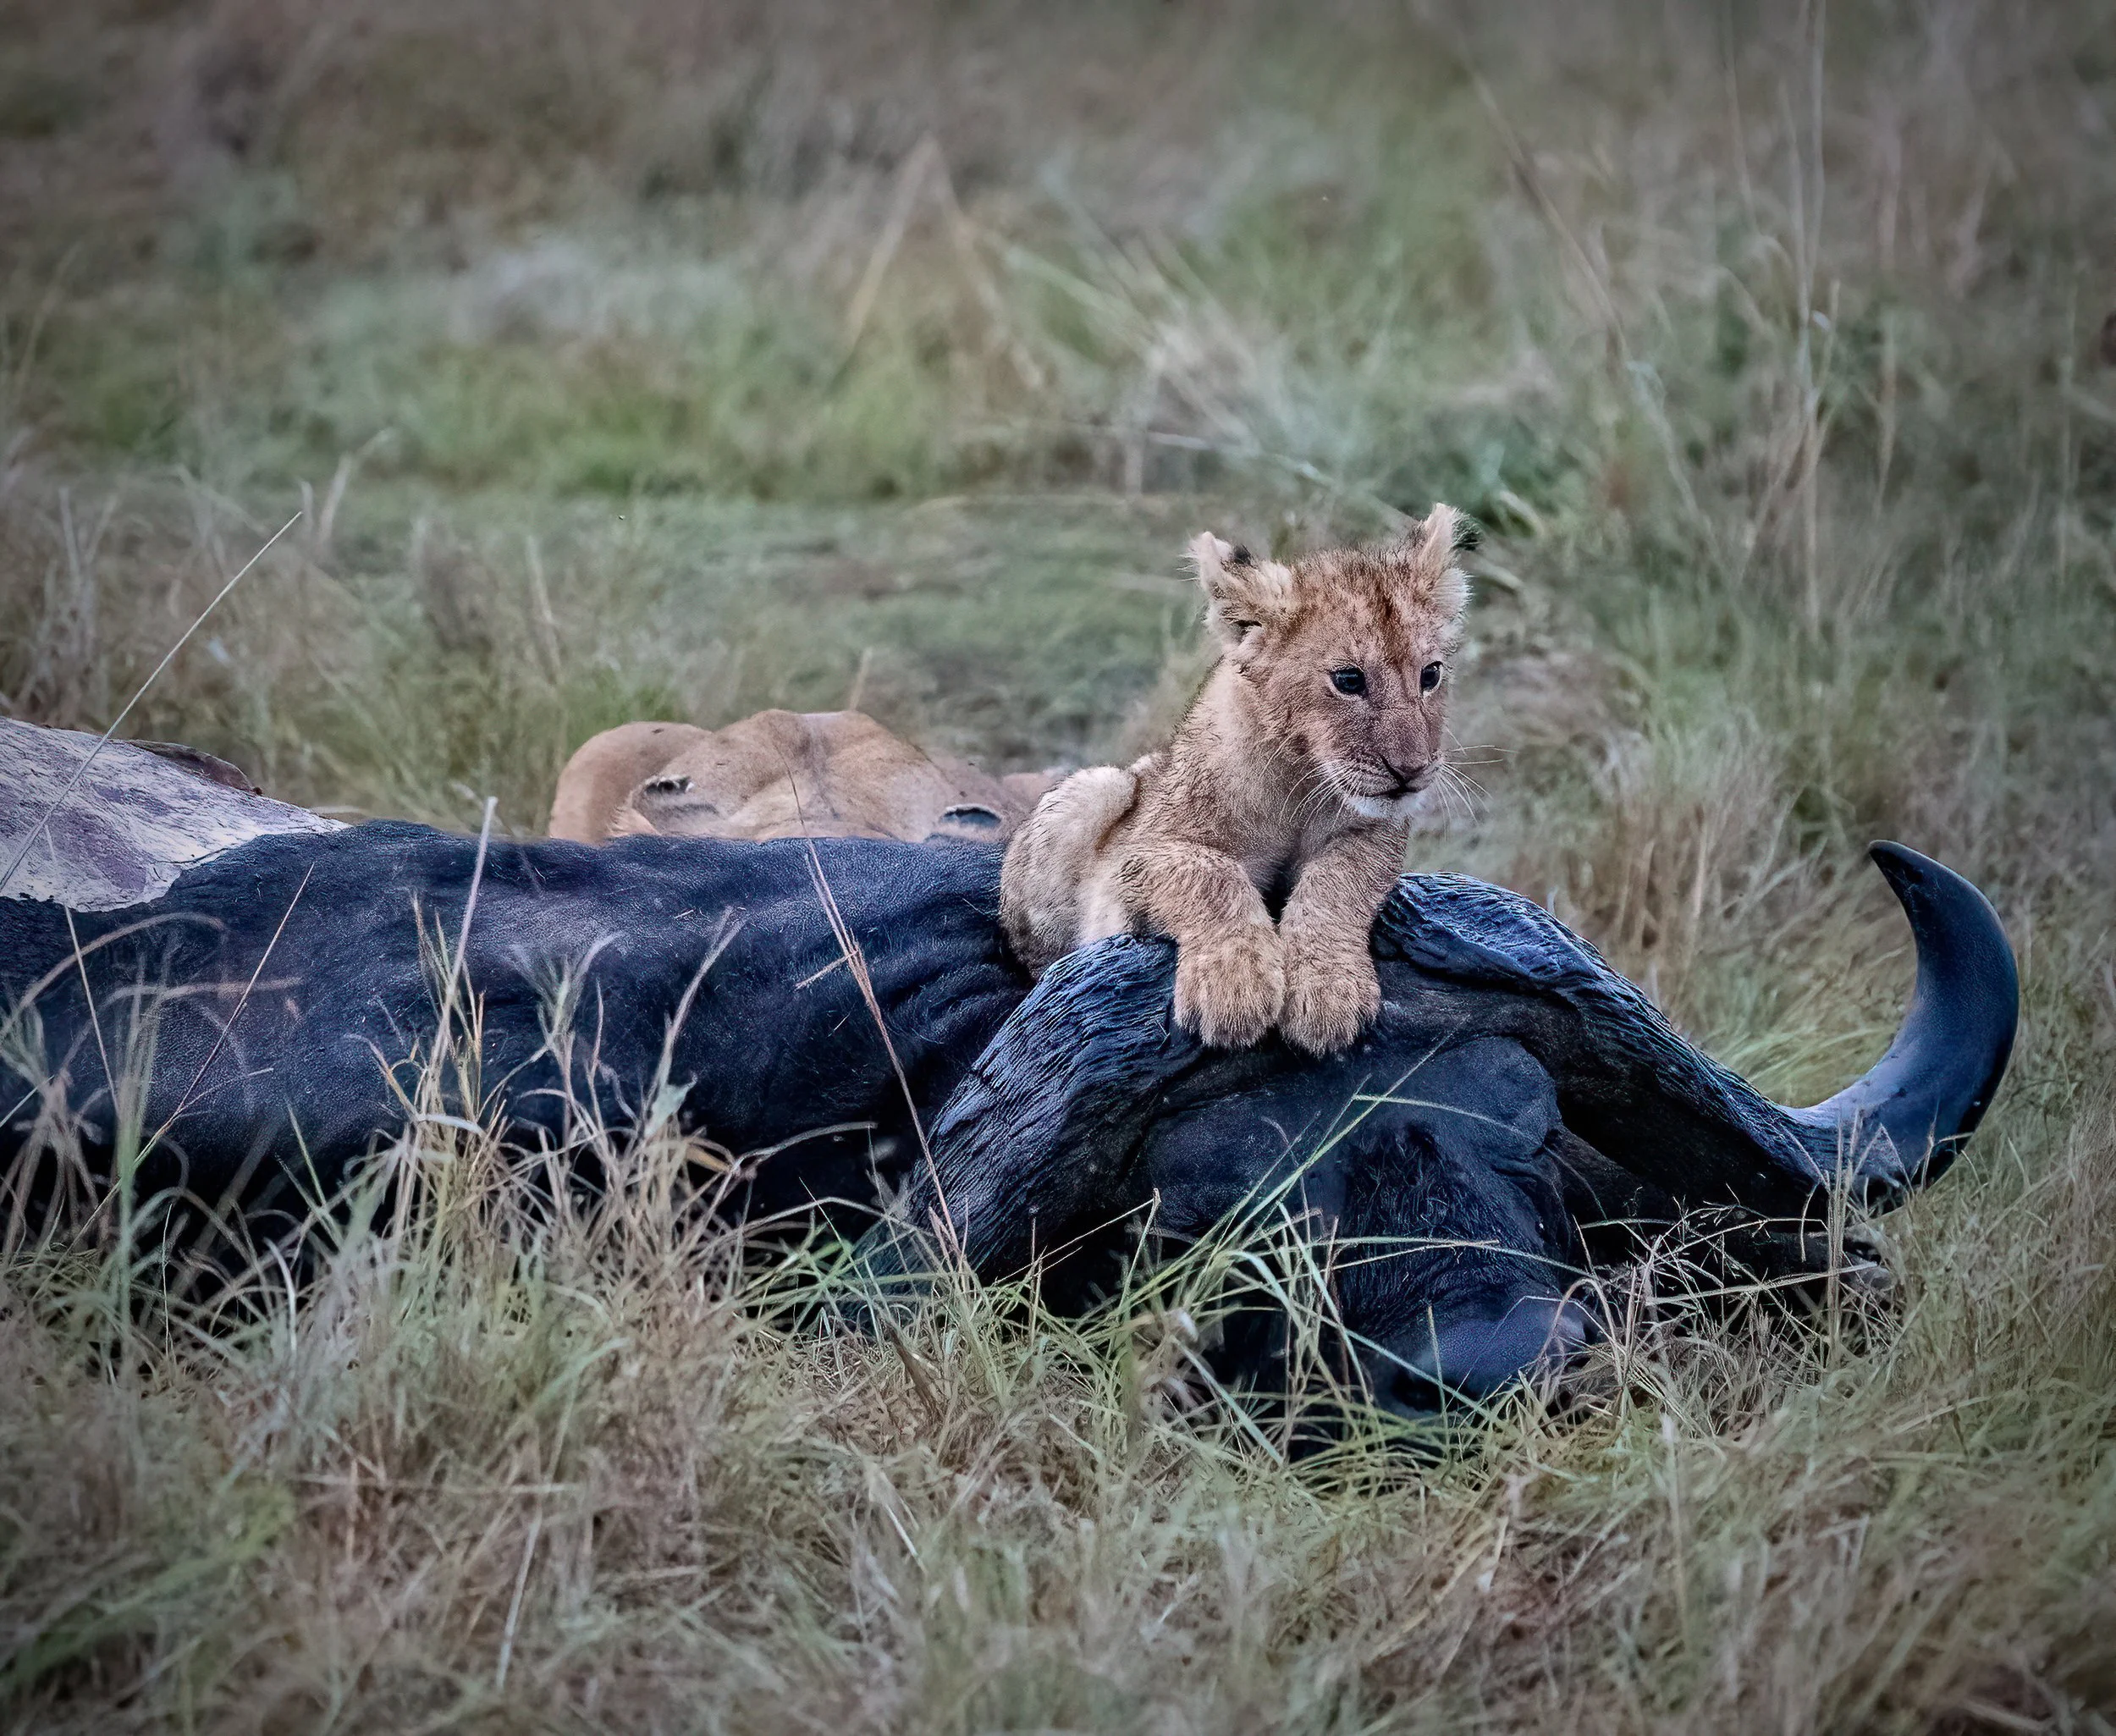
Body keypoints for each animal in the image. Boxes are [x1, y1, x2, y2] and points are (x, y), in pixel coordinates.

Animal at [999, 507, 1473, 1055]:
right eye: (1349, 680)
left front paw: (1328, 989)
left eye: (1430, 675)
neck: (1300, 781)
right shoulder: (1142, 852)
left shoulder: (1376, 830)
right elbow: (1210, 874)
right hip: (1098, 788)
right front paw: (1234, 985)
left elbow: (1340, 880)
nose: (1412, 772)